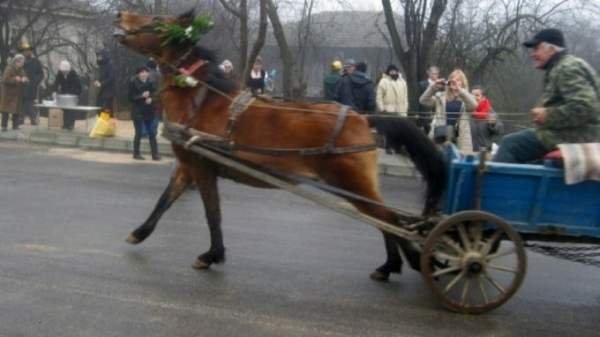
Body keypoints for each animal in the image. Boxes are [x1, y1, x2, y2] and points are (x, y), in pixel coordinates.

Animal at [116, 10, 446, 280]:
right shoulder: (187, 166)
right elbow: (164, 201)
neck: (202, 97)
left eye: (157, 21)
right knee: (383, 219)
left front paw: (211, 255)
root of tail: (363, 118)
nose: (120, 14)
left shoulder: (202, 166)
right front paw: (139, 233)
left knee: (389, 219)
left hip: (353, 183)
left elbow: (213, 213)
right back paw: (391, 266)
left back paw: (411, 261)